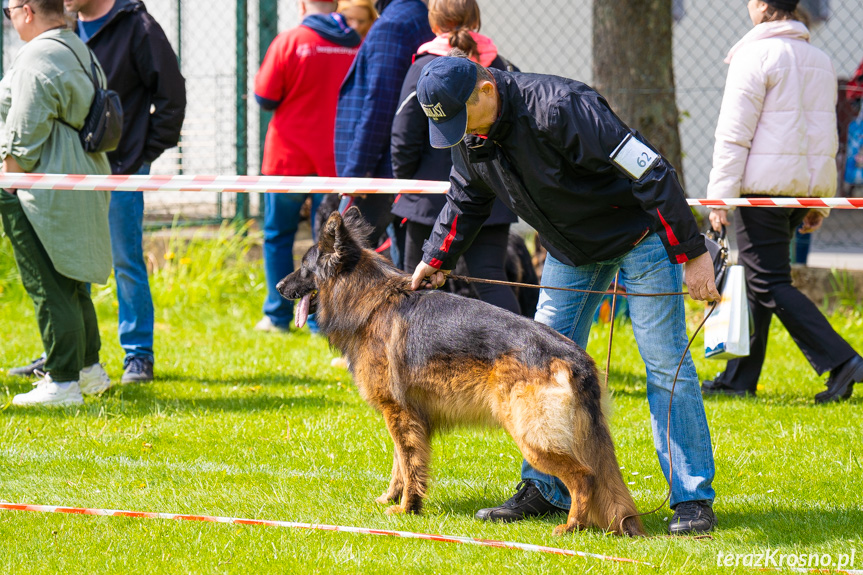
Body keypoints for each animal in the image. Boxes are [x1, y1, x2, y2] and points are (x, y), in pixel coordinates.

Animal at [280, 209, 644, 536]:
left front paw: (407, 508)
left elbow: (409, 464)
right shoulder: (404, 415)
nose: (281, 286)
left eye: (303, 267)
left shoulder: (398, 413)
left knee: (584, 477)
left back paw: (572, 526)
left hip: (532, 436)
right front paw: (391, 499)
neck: (369, 301)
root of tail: (575, 358)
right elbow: (400, 464)